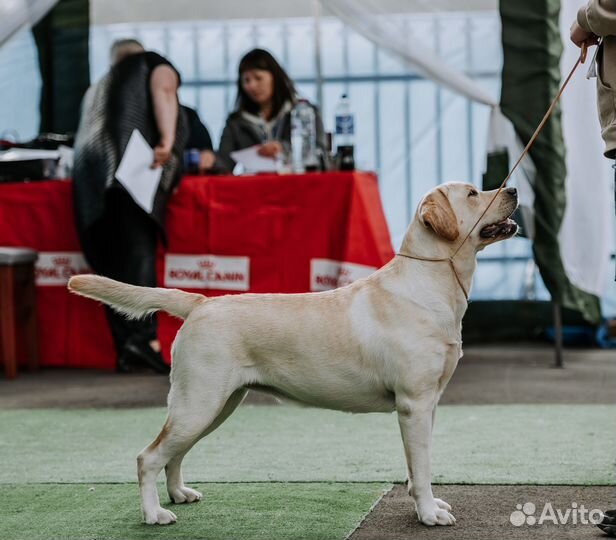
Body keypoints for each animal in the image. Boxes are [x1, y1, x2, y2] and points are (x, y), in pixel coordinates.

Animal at [70, 181, 516, 528]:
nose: (512, 190)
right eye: (473, 193)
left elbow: (417, 464)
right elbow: (421, 468)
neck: (430, 281)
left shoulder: (429, 402)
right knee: (148, 456)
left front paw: (428, 503)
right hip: (199, 401)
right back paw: (154, 515)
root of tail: (200, 302)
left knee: (174, 453)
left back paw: (180, 493)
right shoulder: (414, 403)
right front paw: (428, 514)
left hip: (216, 405)